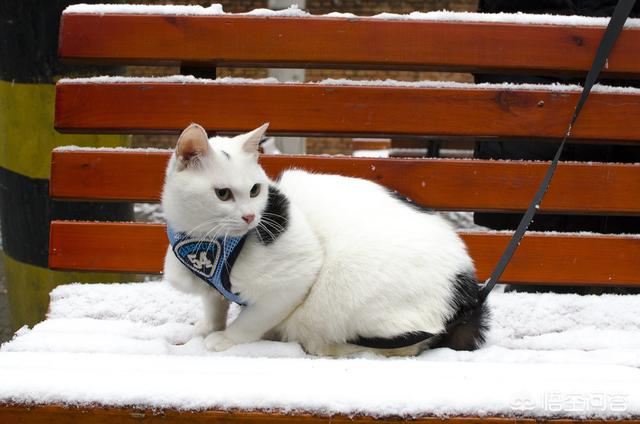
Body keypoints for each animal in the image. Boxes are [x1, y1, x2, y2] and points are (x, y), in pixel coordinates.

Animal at [161, 123, 490, 358]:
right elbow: (214, 304)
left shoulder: (297, 277)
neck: (207, 240)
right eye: (223, 194)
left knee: (402, 347)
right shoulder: (211, 284)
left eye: (255, 190)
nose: (250, 217)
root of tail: (467, 296)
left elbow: (253, 319)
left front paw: (227, 338)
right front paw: (206, 329)